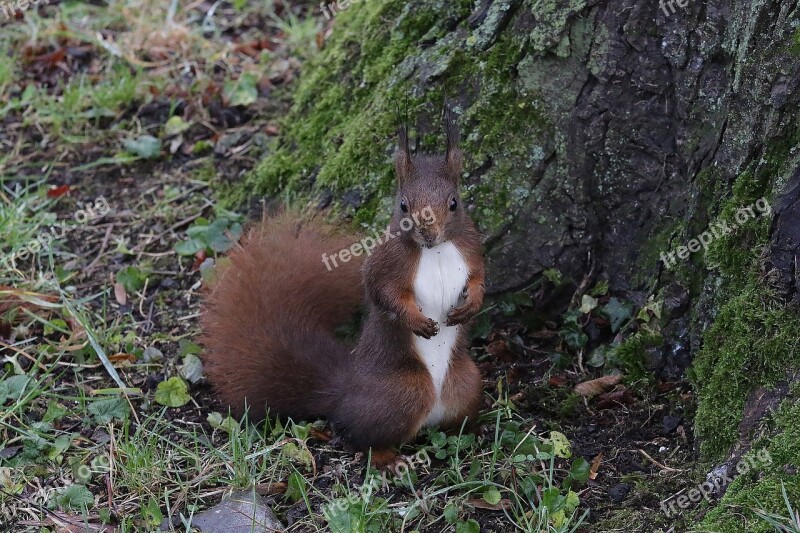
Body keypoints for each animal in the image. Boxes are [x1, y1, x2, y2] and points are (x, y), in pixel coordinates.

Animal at [203, 113, 484, 466]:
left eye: (454, 203)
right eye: (404, 205)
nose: (429, 233)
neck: (435, 251)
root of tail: (344, 393)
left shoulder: (471, 248)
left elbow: (480, 277)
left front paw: (473, 303)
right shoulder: (385, 264)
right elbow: (384, 294)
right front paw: (416, 321)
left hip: (467, 383)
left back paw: (472, 433)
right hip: (404, 392)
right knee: (362, 437)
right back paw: (387, 460)